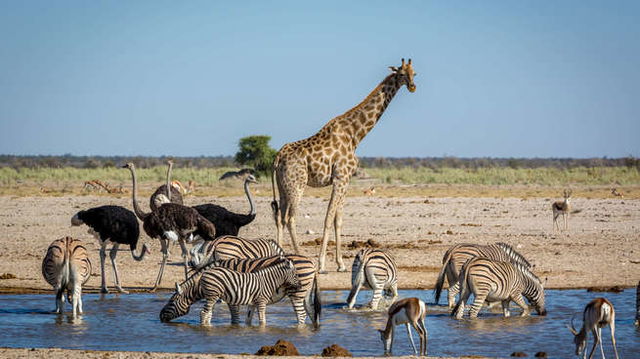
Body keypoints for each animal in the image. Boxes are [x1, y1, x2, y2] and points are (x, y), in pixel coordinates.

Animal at [159, 258, 302, 328]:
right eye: (296, 275)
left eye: (171, 301)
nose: (160, 317)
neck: (267, 280)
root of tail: (205, 274)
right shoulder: (260, 301)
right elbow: (262, 320)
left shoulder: (253, 302)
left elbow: (249, 319)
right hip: (212, 296)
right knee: (204, 313)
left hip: (212, 296)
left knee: (206, 313)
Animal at [268, 58, 416, 272]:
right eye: (402, 74)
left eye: (415, 73)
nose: (413, 86)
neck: (355, 135)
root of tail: (277, 158)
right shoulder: (341, 178)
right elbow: (329, 218)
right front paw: (322, 264)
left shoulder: (345, 181)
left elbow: (339, 220)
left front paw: (340, 264)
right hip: (297, 185)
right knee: (290, 218)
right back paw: (302, 256)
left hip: (282, 187)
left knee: (279, 217)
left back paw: (280, 256)